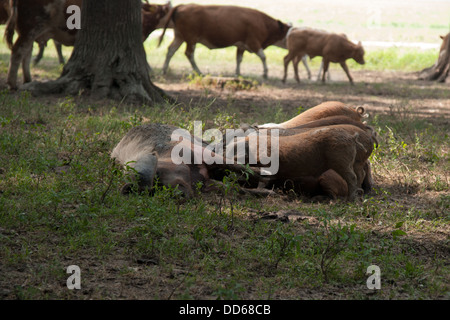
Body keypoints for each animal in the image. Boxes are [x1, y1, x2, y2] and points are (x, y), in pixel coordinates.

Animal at [159, 4, 292, 79]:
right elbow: (263, 57)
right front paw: (265, 73)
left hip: (179, 36)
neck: (263, 23)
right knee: (189, 54)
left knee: (170, 50)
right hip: (191, 39)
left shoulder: (241, 45)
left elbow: (239, 59)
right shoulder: (253, 42)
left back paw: (164, 69)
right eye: (288, 33)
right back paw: (199, 72)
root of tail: (183, 6)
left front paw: (238, 73)